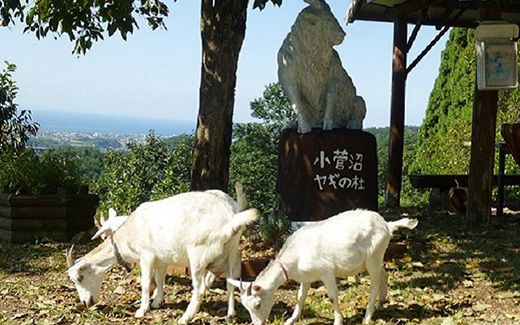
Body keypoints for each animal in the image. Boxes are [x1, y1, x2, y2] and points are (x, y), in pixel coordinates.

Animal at [67, 184, 258, 322]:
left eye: (80, 278)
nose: (85, 302)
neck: (129, 232)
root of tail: (230, 216)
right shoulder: (161, 260)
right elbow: (160, 280)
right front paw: (157, 302)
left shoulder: (146, 256)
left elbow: (145, 283)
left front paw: (142, 310)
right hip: (232, 251)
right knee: (231, 281)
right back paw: (230, 315)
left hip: (198, 253)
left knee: (199, 288)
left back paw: (185, 318)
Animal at [230, 209, 416, 322]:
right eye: (245, 306)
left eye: (257, 305)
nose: (257, 323)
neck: (297, 255)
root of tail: (387, 225)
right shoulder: (306, 277)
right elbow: (300, 297)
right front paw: (291, 319)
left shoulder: (326, 272)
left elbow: (332, 296)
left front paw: (338, 321)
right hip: (374, 259)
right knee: (384, 274)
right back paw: (380, 304)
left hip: (373, 256)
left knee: (375, 284)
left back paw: (367, 317)